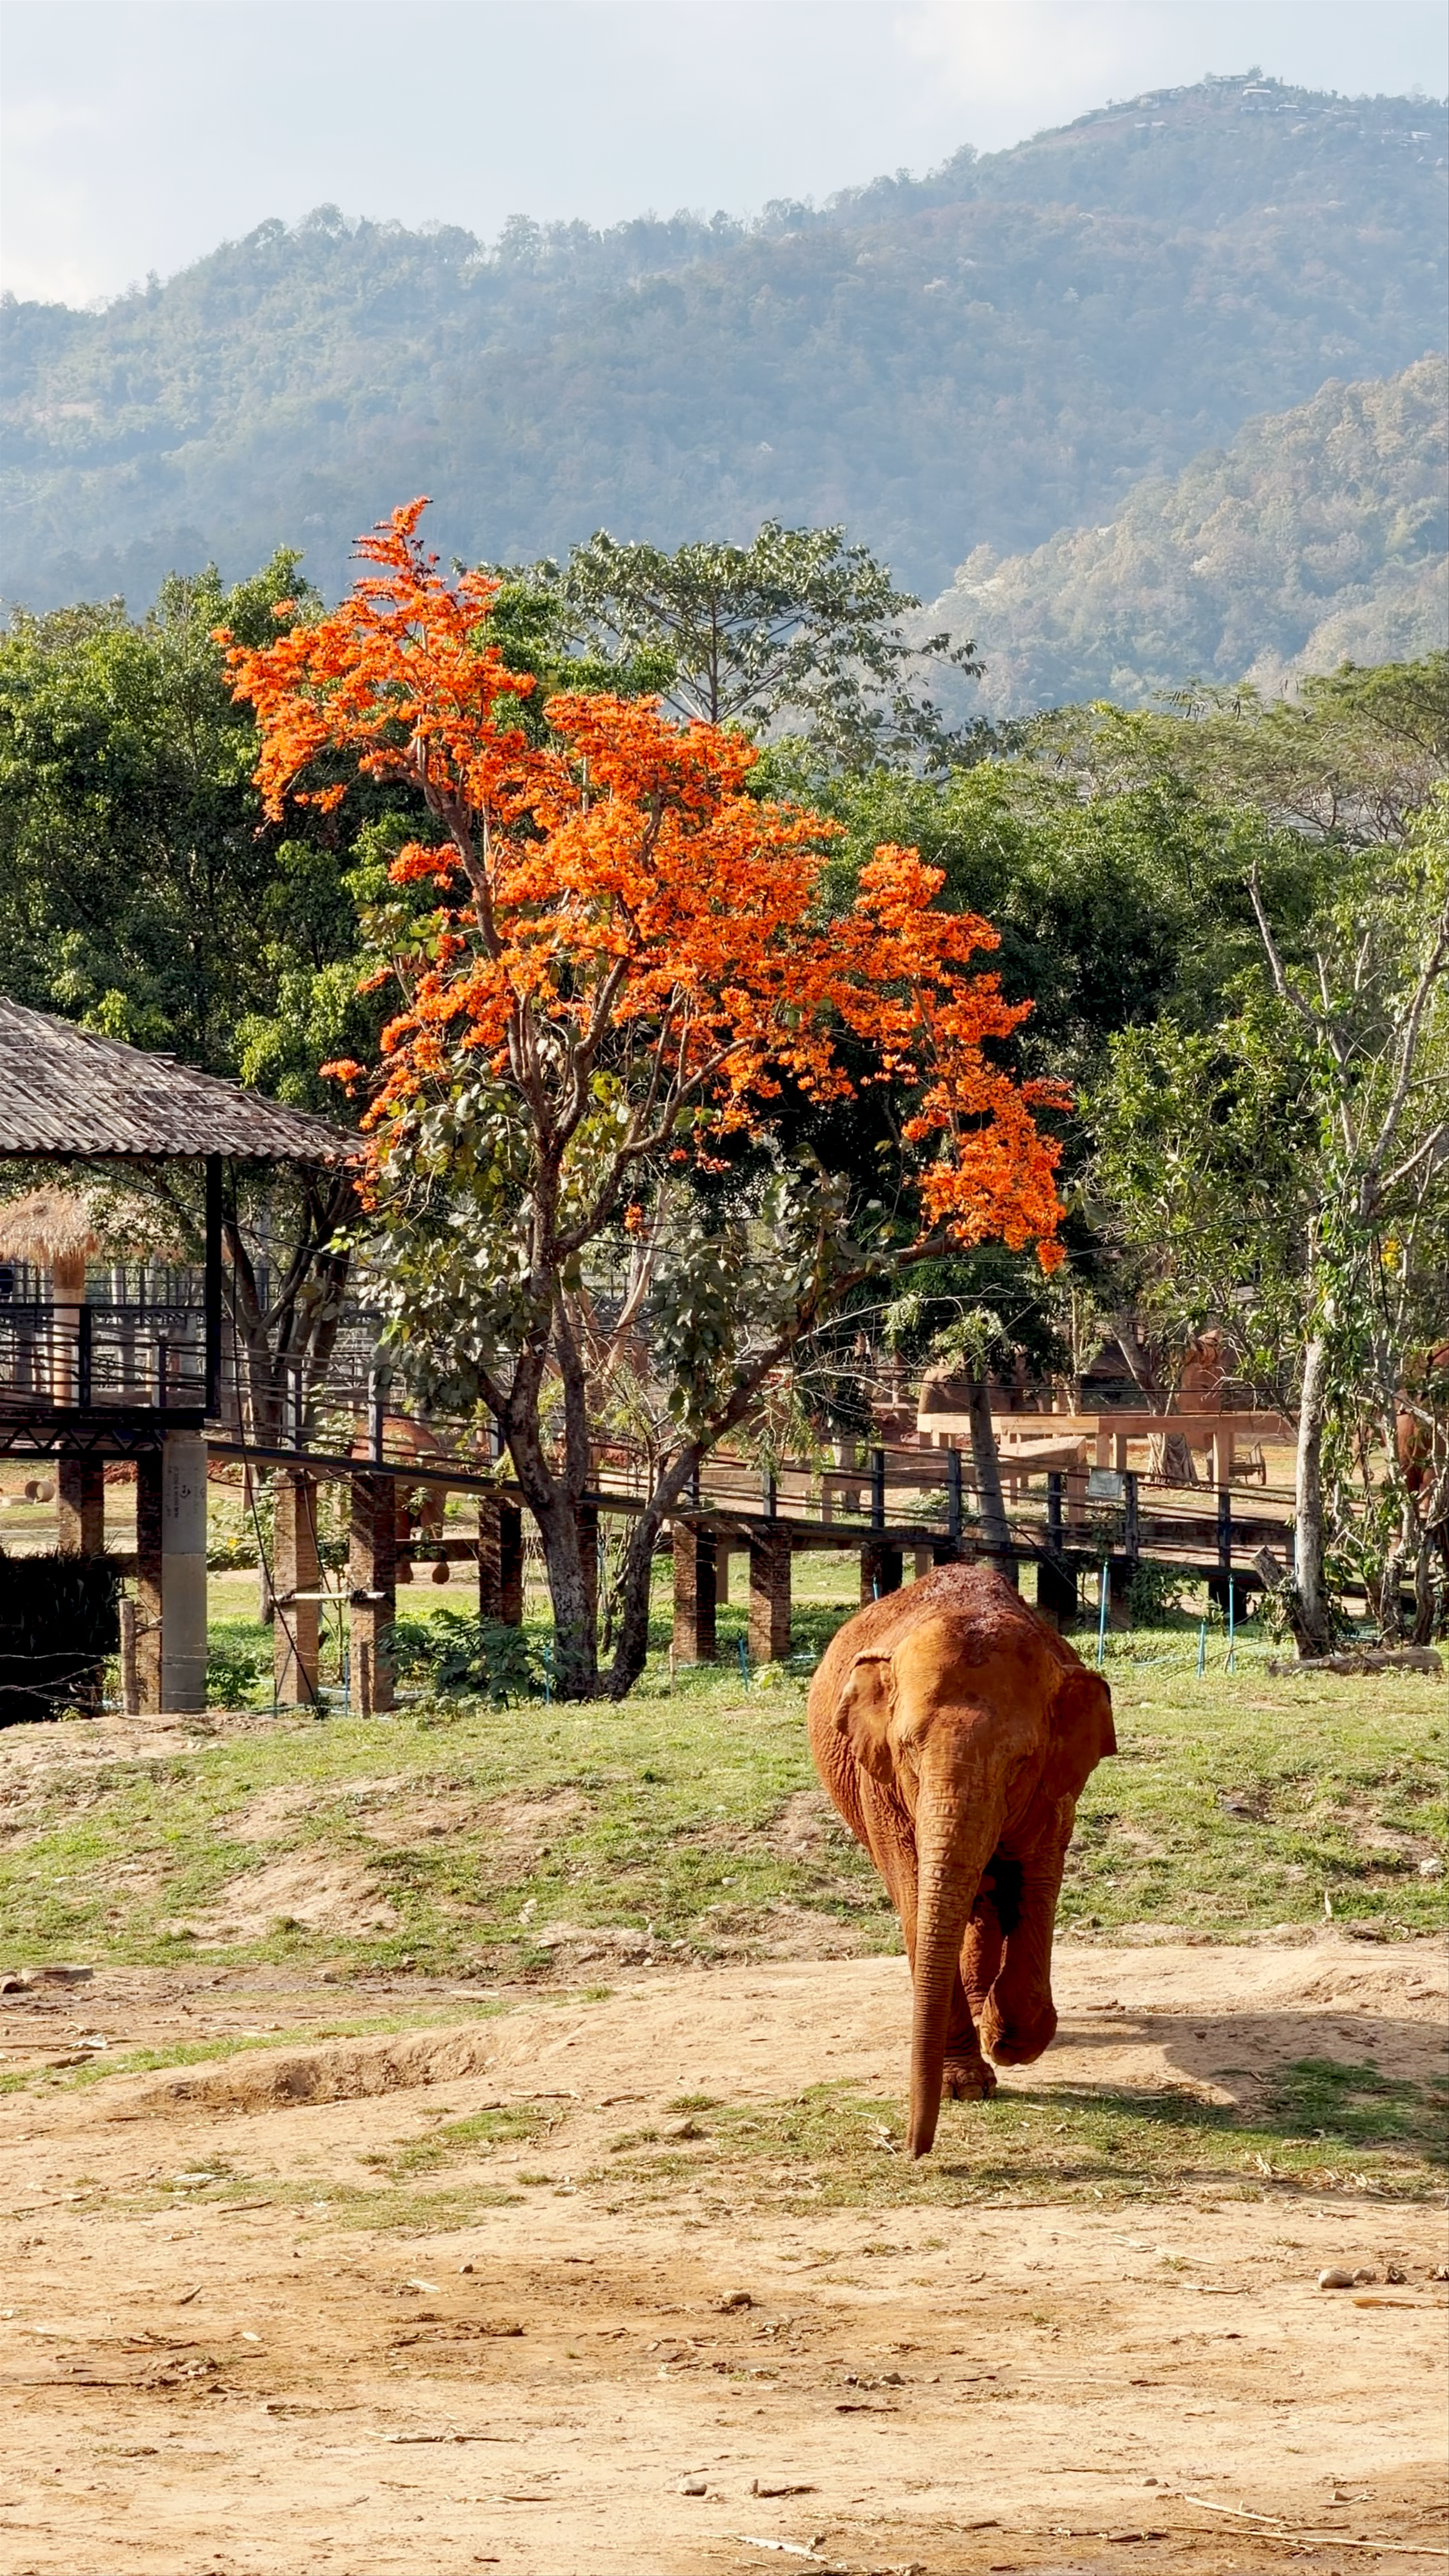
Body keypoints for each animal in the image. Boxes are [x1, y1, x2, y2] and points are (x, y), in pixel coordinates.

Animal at [807, 1561, 1115, 2158]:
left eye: (1020, 1761)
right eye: (907, 1749)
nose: (911, 2147)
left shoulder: (1054, 1785)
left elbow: (1039, 1882)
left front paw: (1008, 2039)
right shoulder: (881, 1786)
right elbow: (914, 1892)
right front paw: (967, 2086)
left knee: (992, 1896)